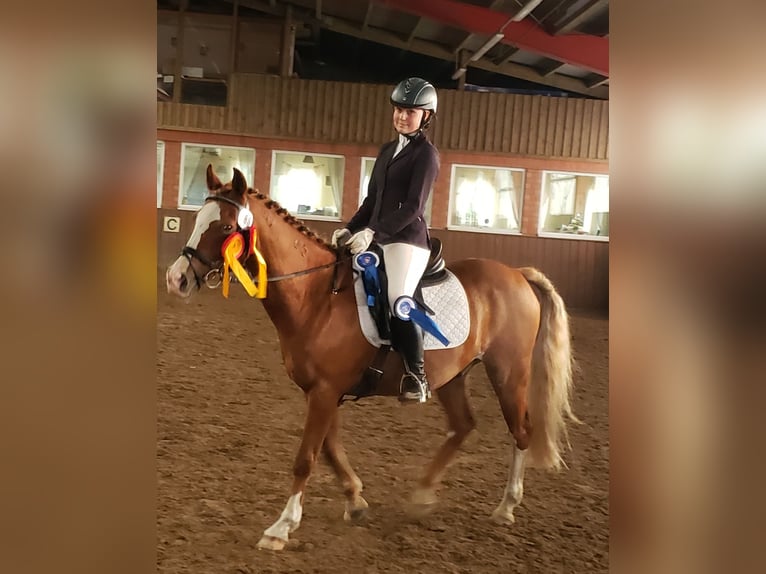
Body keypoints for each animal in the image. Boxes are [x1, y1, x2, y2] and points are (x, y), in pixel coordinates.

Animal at [165, 165, 577, 551]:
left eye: (225, 226)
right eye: (197, 220)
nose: (176, 279)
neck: (317, 297)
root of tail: (518, 274)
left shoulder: (324, 392)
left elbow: (307, 457)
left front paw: (281, 527)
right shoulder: (322, 392)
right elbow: (329, 450)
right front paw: (355, 500)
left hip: (509, 372)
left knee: (521, 431)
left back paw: (506, 507)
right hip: (451, 376)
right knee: (463, 425)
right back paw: (422, 494)